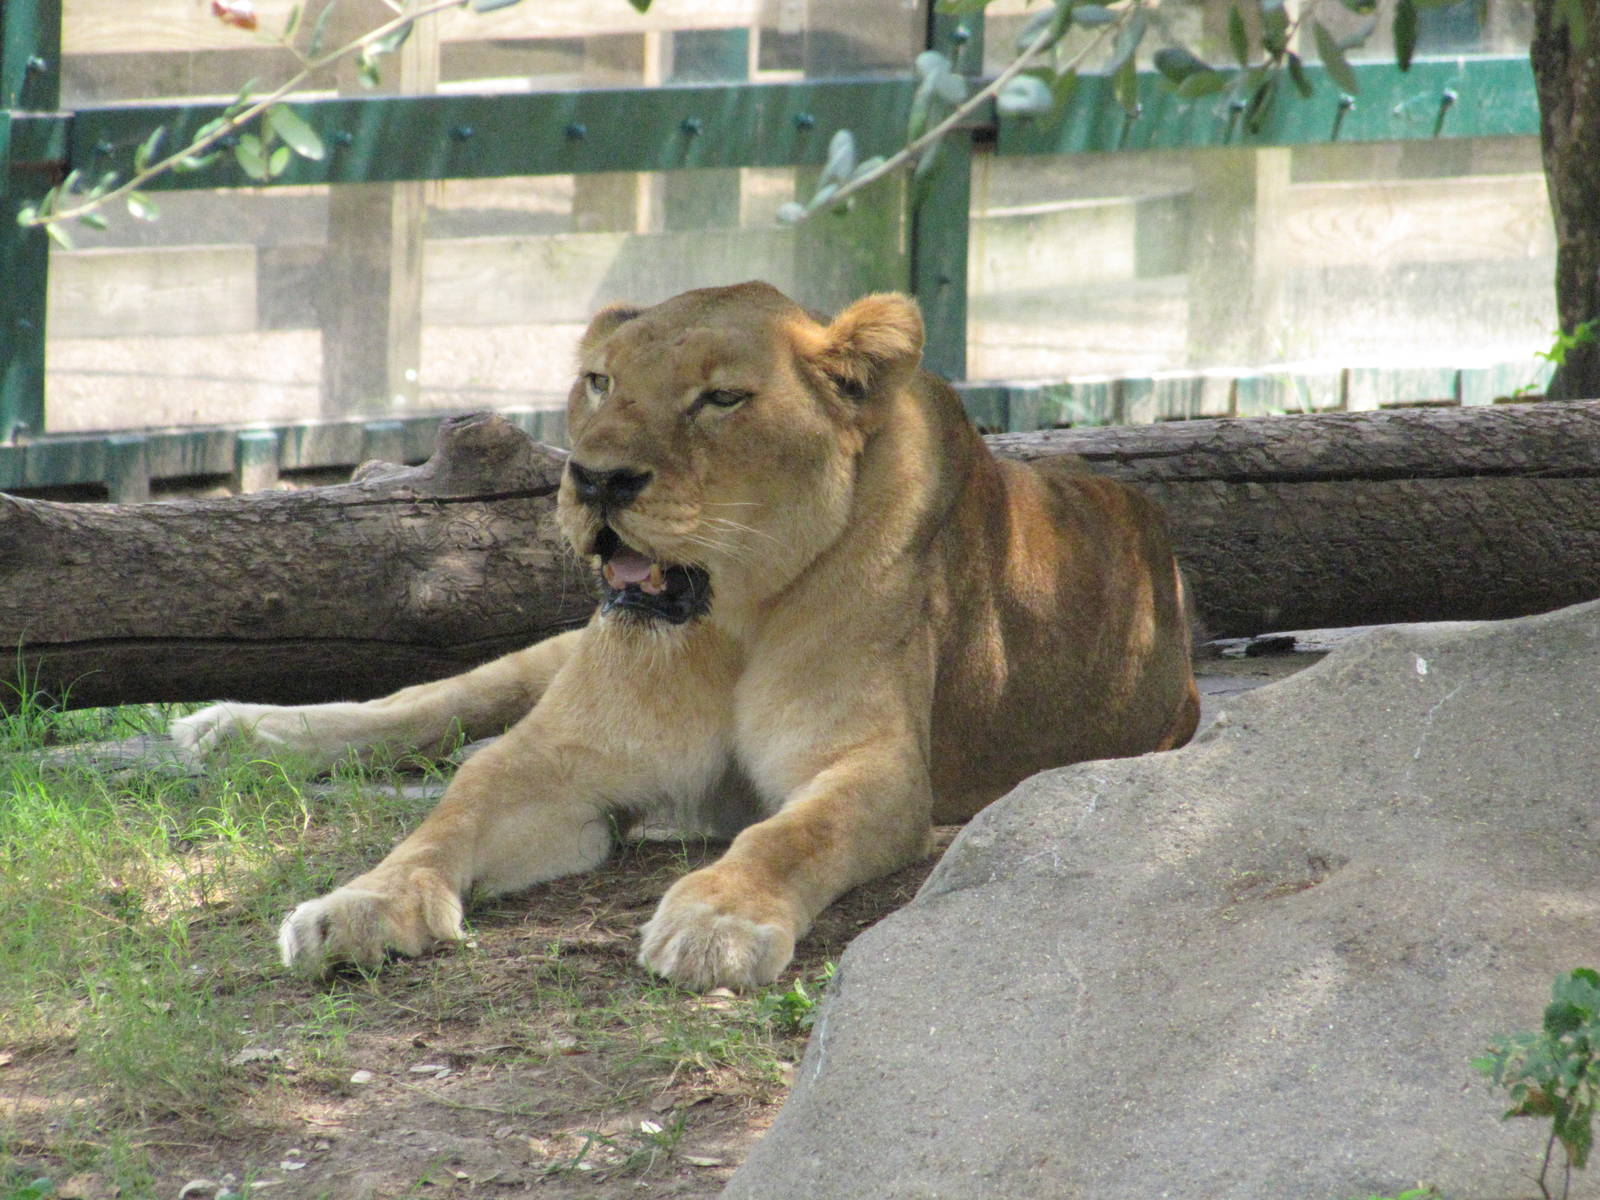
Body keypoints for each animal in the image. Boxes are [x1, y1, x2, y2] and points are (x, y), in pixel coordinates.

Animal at [171, 280, 1199, 990]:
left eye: (720, 400)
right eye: (598, 382)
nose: (596, 480)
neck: (730, 619)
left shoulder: (877, 768)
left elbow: (790, 834)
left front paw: (717, 919)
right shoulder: (561, 754)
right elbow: (449, 810)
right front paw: (360, 905)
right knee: (440, 698)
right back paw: (231, 730)